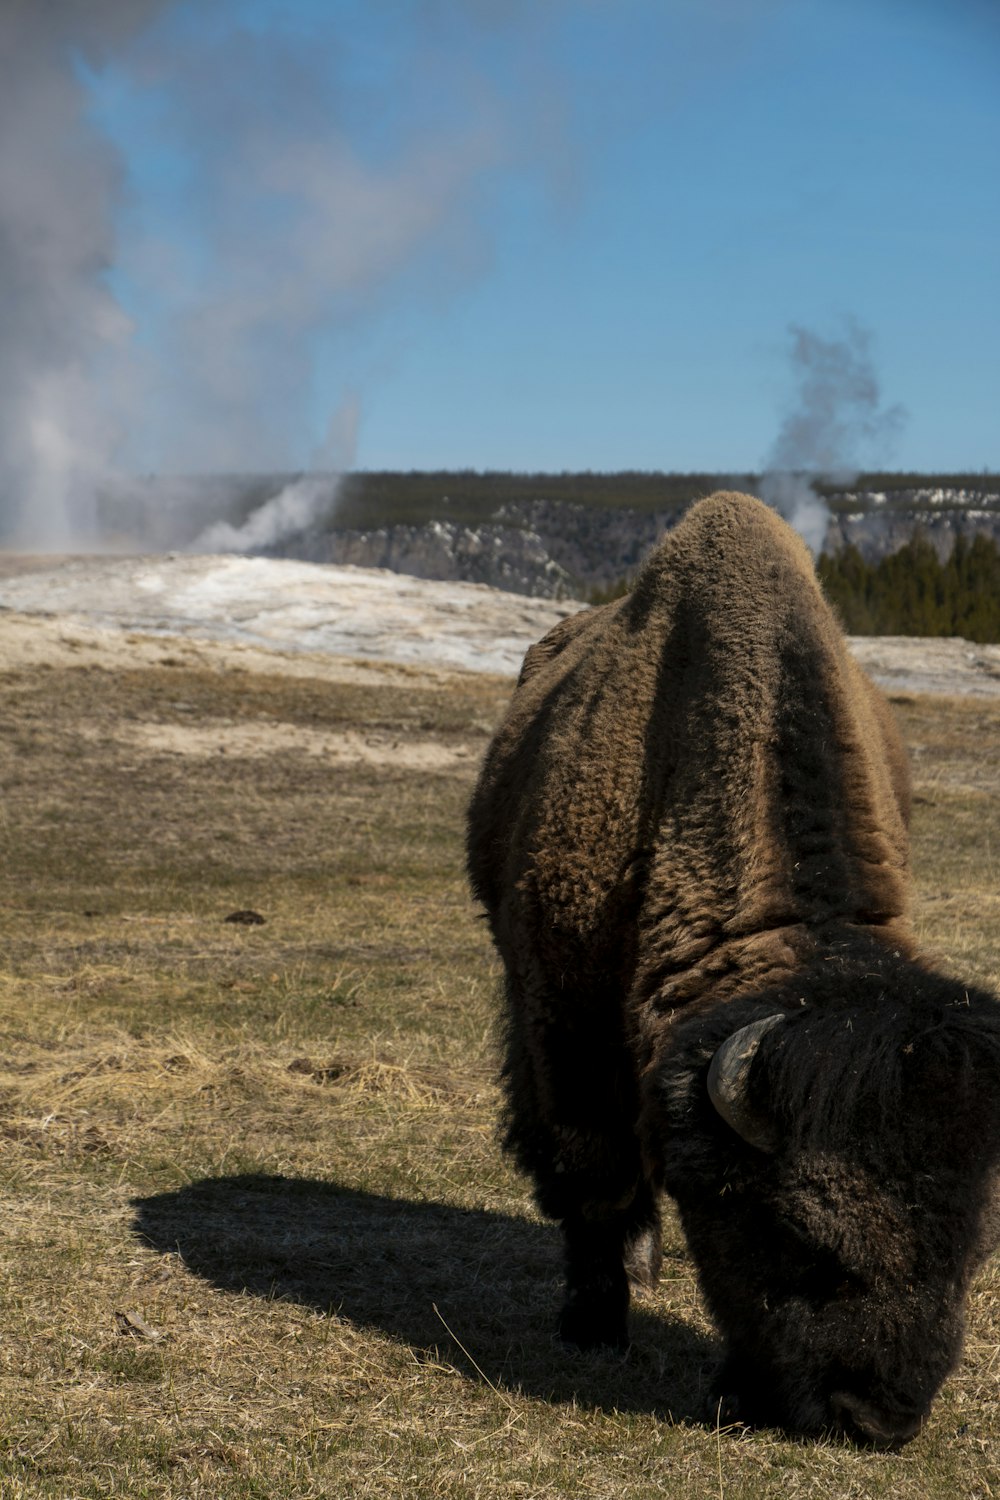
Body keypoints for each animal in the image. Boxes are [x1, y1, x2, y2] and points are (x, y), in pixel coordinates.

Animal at [470, 495, 1000, 1452]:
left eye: (974, 1249)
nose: (879, 1418)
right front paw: (594, 1326)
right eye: (796, 1232)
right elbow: (593, 1170)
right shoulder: (565, 1021)